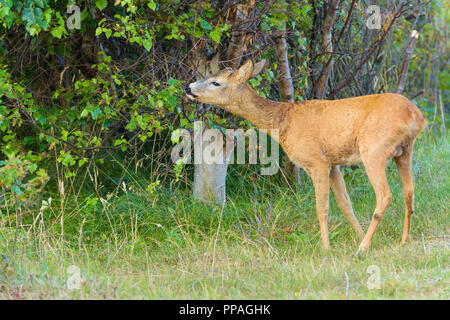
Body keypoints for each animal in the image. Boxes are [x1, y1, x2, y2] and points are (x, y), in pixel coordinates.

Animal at [185, 58, 428, 254]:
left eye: (216, 82)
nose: (188, 87)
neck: (283, 122)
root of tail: (416, 115)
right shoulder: (333, 164)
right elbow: (345, 204)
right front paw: (357, 234)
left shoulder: (316, 161)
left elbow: (322, 207)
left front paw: (326, 247)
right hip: (404, 151)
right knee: (409, 191)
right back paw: (402, 240)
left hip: (374, 149)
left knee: (385, 195)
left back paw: (363, 248)